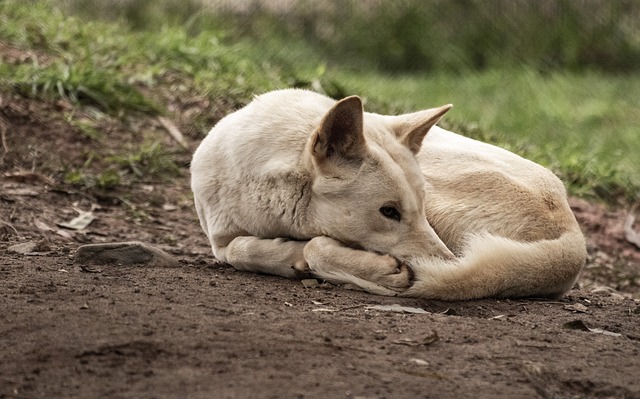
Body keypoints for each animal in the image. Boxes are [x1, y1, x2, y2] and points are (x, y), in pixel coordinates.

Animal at [190, 88, 584, 300]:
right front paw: (288, 255)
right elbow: (237, 250)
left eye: (417, 208)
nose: (447, 264)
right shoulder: (219, 238)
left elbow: (309, 246)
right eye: (389, 212)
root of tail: (575, 236)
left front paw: (304, 256)